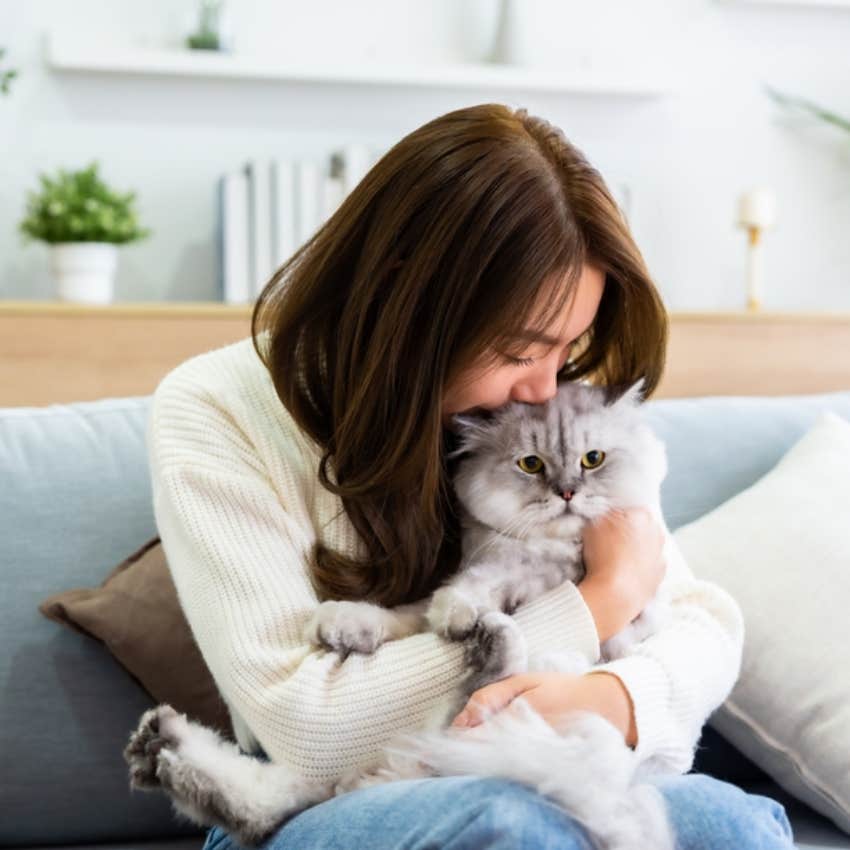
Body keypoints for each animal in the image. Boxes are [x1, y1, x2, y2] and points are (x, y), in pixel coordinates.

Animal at [122, 378, 676, 848]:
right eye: (531, 465)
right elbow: (409, 613)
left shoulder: (575, 599)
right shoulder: (476, 578)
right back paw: (159, 747)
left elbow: (473, 593)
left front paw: (461, 615)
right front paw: (344, 624)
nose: (566, 493)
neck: (543, 553)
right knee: (256, 809)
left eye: (593, 459)